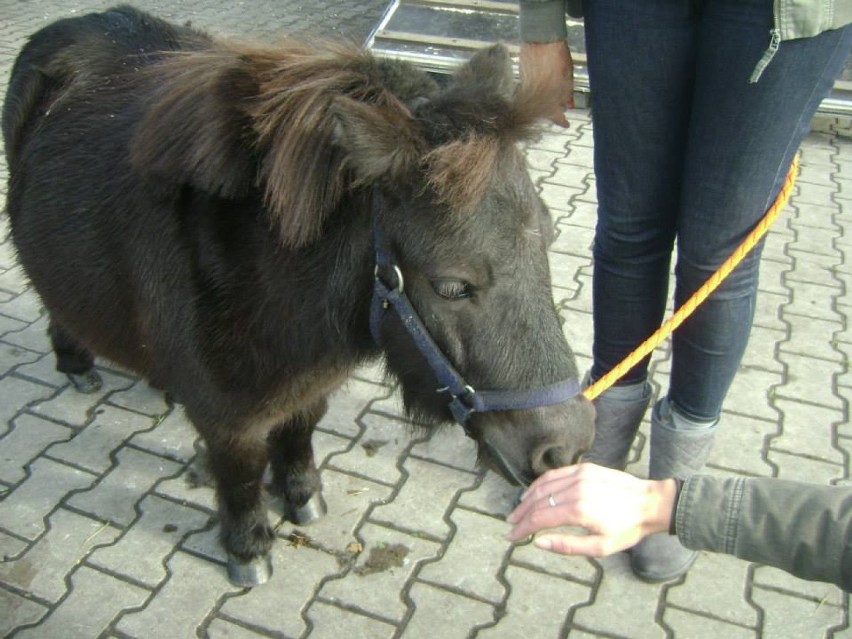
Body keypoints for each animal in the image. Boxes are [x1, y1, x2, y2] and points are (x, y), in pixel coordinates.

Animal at [1, 5, 592, 588]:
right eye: (450, 285)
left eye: (549, 240)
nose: (565, 448)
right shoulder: (228, 422)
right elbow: (239, 476)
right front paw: (248, 548)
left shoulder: (309, 387)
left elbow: (299, 433)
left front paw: (303, 497)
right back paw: (75, 362)